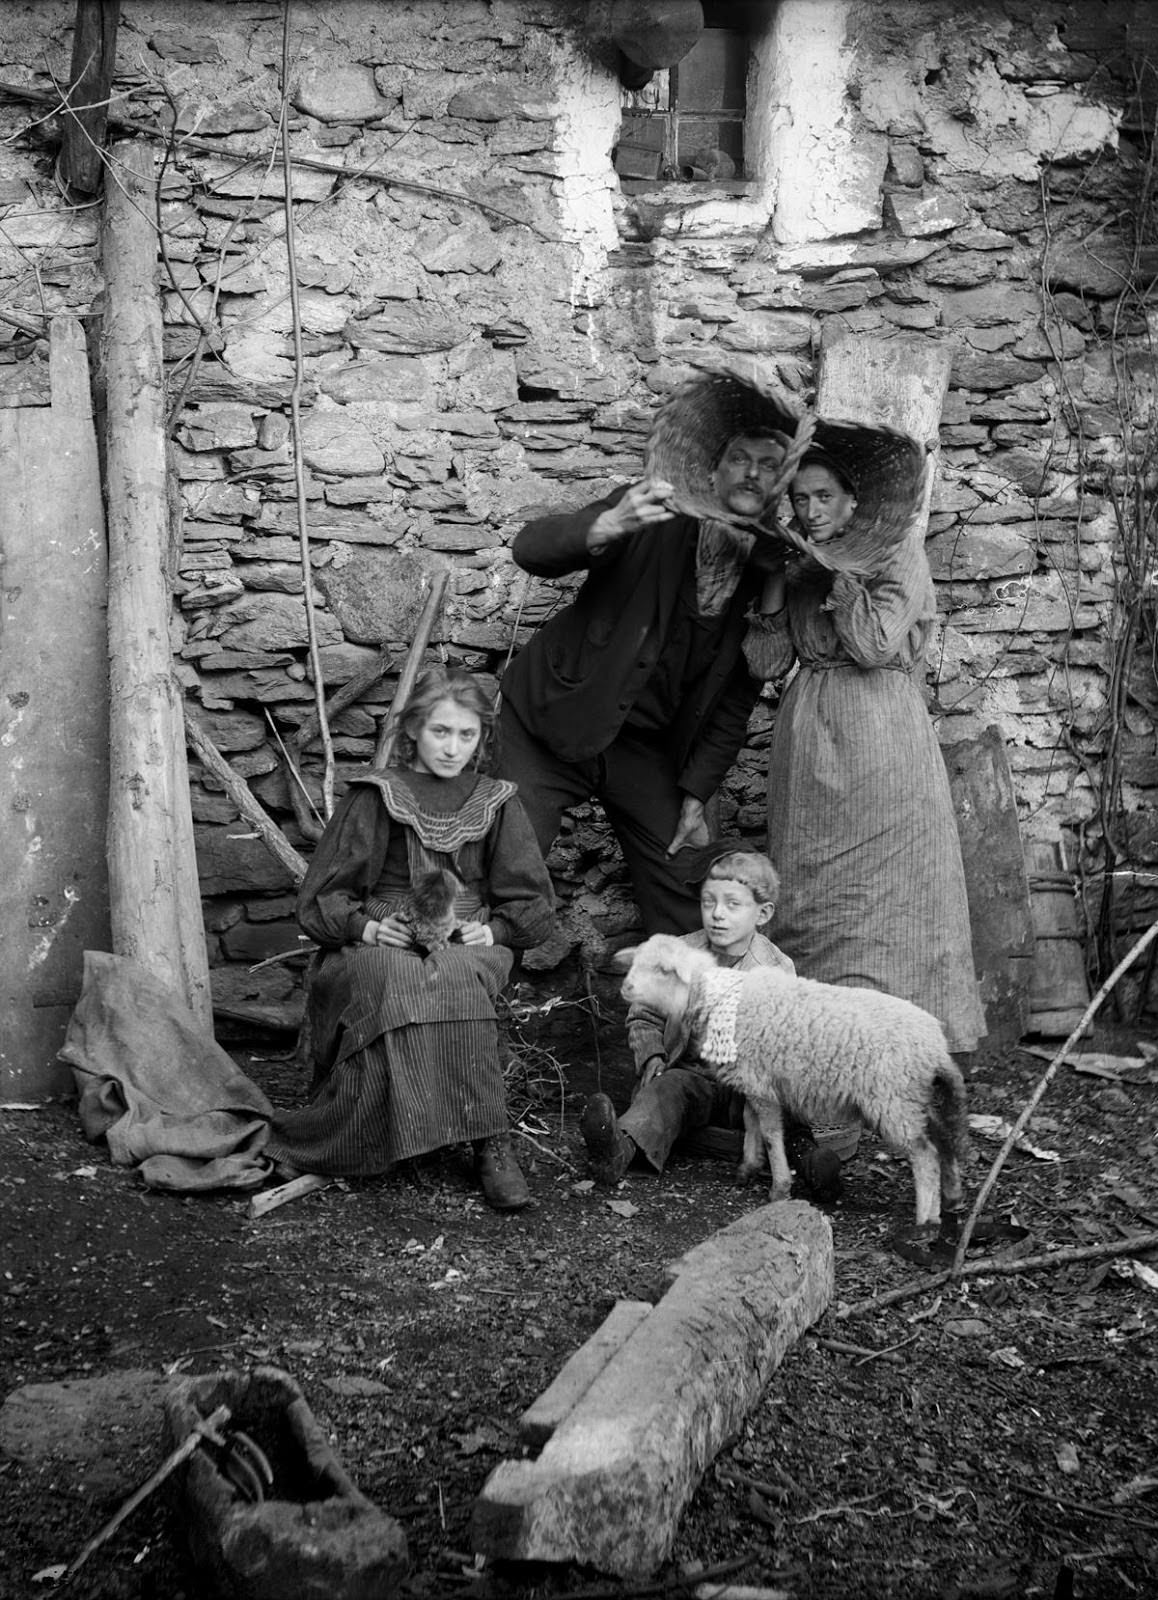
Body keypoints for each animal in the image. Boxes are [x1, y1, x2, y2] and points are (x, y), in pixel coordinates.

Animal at [614, 934, 966, 1216]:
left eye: (663, 970)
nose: (625, 988)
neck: (719, 998)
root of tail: (936, 1045)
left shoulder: (761, 1085)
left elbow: (771, 1134)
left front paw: (779, 1187)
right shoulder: (755, 1080)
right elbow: (750, 1122)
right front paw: (748, 1168)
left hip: (892, 1097)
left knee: (924, 1154)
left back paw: (925, 1222)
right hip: (915, 1096)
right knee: (943, 1138)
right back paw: (952, 1198)